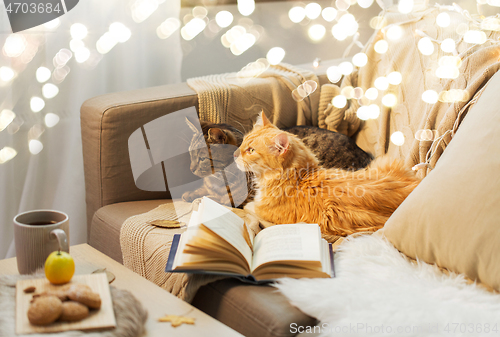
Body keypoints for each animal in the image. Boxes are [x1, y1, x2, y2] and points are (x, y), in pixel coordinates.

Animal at [184, 119, 372, 207]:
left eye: (201, 158)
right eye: (190, 155)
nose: (191, 169)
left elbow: (219, 200)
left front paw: (201, 199)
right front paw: (191, 193)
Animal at [233, 113, 418, 239]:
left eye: (251, 150)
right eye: (242, 143)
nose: (234, 154)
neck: (299, 177)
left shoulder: (264, 211)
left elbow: (248, 207)